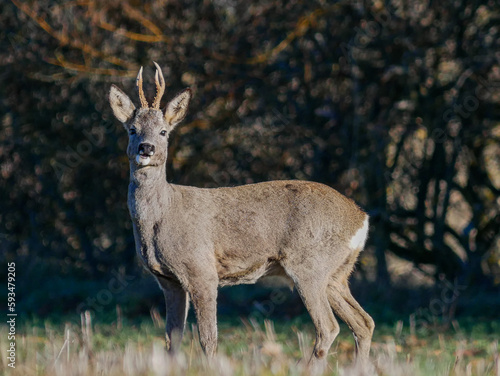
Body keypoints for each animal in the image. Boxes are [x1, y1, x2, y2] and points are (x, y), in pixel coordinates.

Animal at [109, 63, 376, 366]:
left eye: (164, 131)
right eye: (132, 129)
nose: (146, 148)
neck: (162, 216)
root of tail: (361, 219)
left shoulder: (201, 271)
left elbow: (208, 339)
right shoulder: (168, 281)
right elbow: (171, 340)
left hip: (310, 266)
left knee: (329, 327)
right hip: (337, 274)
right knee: (364, 322)